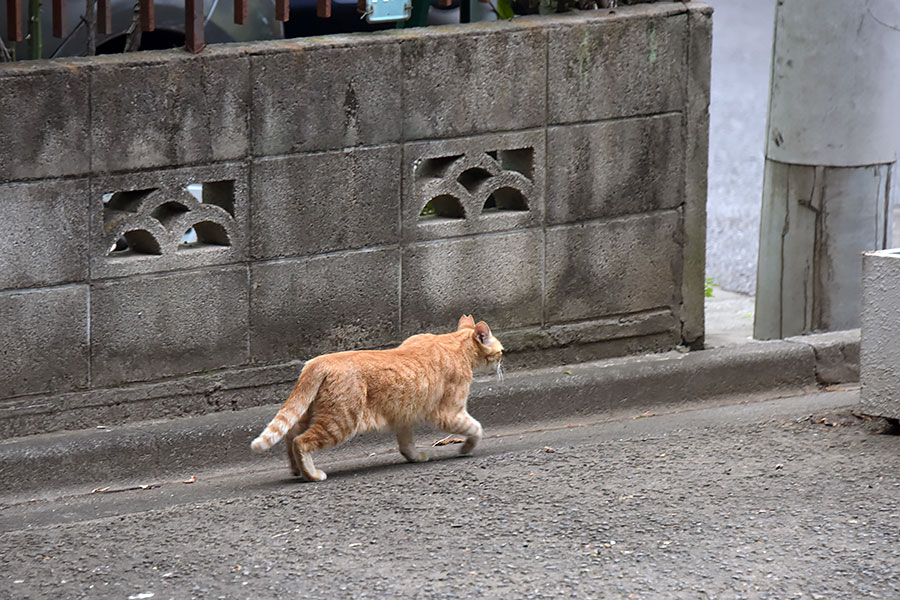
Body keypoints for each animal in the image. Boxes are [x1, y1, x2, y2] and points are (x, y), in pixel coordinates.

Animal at [250, 316, 502, 480]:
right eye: (500, 352)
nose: (503, 360)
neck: (454, 344)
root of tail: (319, 361)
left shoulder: (404, 415)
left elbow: (406, 443)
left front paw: (414, 457)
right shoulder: (449, 413)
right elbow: (476, 428)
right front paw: (466, 449)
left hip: (308, 413)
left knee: (289, 434)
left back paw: (296, 470)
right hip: (339, 422)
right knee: (300, 441)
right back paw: (312, 474)